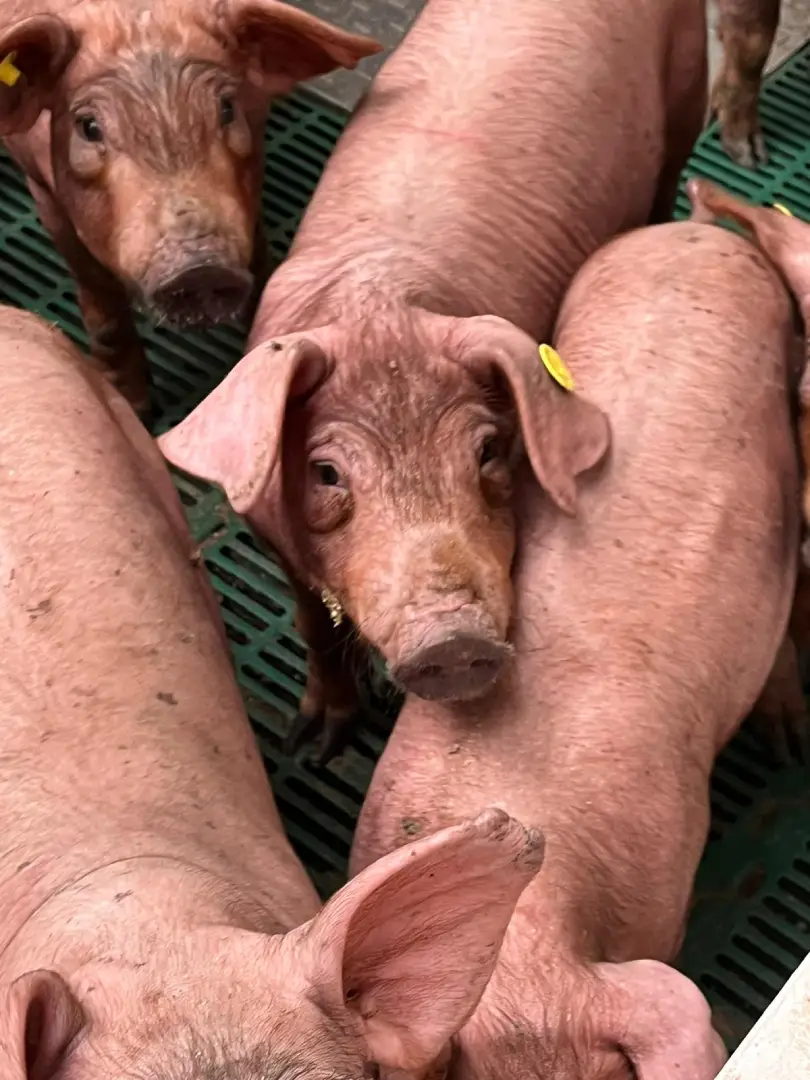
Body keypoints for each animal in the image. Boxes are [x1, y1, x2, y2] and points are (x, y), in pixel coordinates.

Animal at [0, 1, 381, 416]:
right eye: (88, 127)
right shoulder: (44, 191)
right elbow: (102, 304)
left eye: (228, 108)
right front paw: (137, 408)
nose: (199, 269)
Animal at [158, 0, 709, 764]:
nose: (451, 639)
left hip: (689, 87)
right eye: (326, 472)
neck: (379, 306)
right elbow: (315, 626)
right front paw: (315, 745)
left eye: (488, 451)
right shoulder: (275, 534)